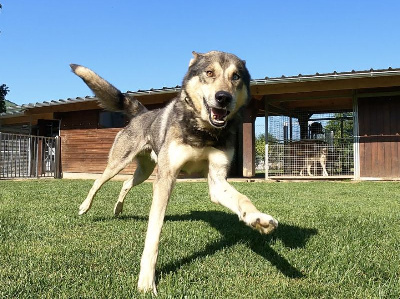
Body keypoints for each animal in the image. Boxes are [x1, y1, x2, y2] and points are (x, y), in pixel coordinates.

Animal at [71, 51, 278, 296]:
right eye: (209, 72)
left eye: (236, 76)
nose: (223, 97)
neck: (203, 131)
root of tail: (143, 113)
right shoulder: (166, 178)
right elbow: (154, 234)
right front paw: (146, 281)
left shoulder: (217, 181)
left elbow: (242, 199)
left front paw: (258, 219)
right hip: (119, 163)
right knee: (98, 181)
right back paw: (85, 206)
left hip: (145, 171)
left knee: (126, 184)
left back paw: (118, 208)